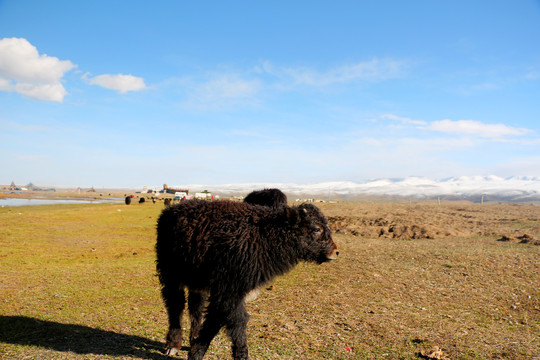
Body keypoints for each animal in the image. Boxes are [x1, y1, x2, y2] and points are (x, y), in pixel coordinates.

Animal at [154, 200, 336, 360]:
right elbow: (237, 322)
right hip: (171, 276)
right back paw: (172, 345)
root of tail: (169, 211)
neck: (265, 234)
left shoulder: (226, 294)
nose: (335, 252)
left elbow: (215, 321)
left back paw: (191, 340)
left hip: (197, 283)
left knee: (195, 307)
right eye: (317, 229)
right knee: (175, 305)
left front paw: (196, 349)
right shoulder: (229, 292)